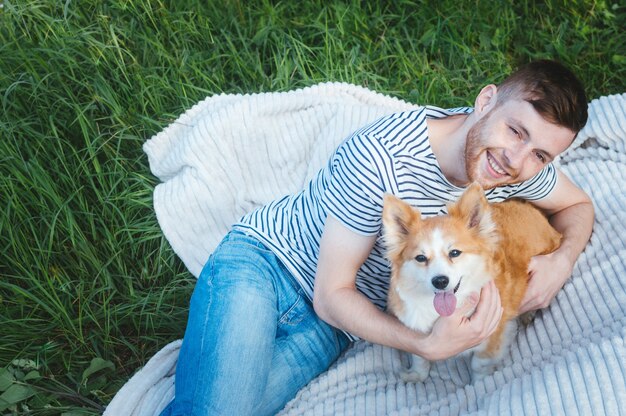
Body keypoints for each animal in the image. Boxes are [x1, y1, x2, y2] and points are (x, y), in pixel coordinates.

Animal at [380, 182, 560, 380]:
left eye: (455, 253)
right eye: (421, 258)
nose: (440, 281)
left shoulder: (493, 336)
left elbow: (479, 364)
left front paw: (481, 382)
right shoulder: (418, 331)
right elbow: (419, 356)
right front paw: (417, 375)